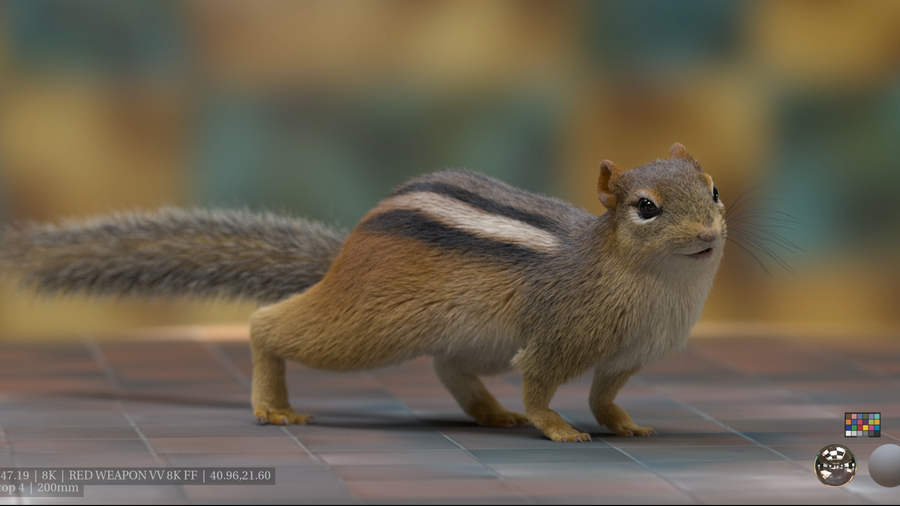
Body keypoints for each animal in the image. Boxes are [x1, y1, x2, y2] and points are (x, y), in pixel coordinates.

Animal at [1, 142, 726, 442]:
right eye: (645, 208)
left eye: (714, 190)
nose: (710, 234)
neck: (661, 288)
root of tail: (346, 252)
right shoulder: (558, 334)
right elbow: (543, 386)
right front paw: (558, 428)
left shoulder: (627, 355)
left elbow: (606, 394)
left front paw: (623, 423)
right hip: (367, 326)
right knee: (269, 325)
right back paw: (274, 407)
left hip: (468, 339)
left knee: (450, 369)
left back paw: (490, 414)